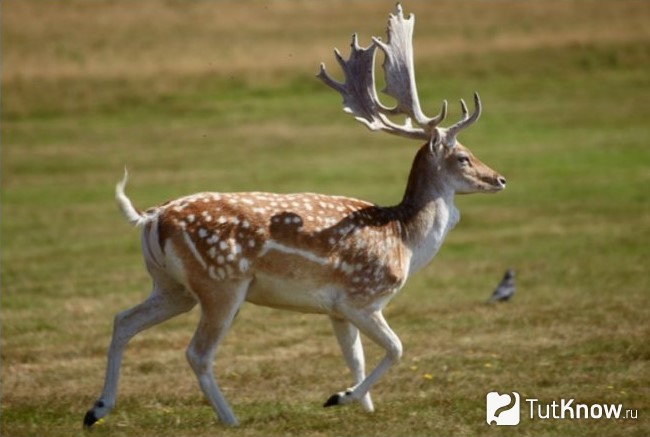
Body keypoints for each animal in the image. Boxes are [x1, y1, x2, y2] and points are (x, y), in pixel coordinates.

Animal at [82, 3, 506, 426]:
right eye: (463, 156)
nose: (500, 178)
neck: (404, 240)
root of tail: (151, 218)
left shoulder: (337, 309)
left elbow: (354, 356)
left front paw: (360, 406)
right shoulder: (362, 296)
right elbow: (397, 348)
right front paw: (340, 396)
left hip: (172, 286)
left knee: (123, 320)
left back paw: (97, 409)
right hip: (220, 283)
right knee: (197, 352)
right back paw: (231, 419)